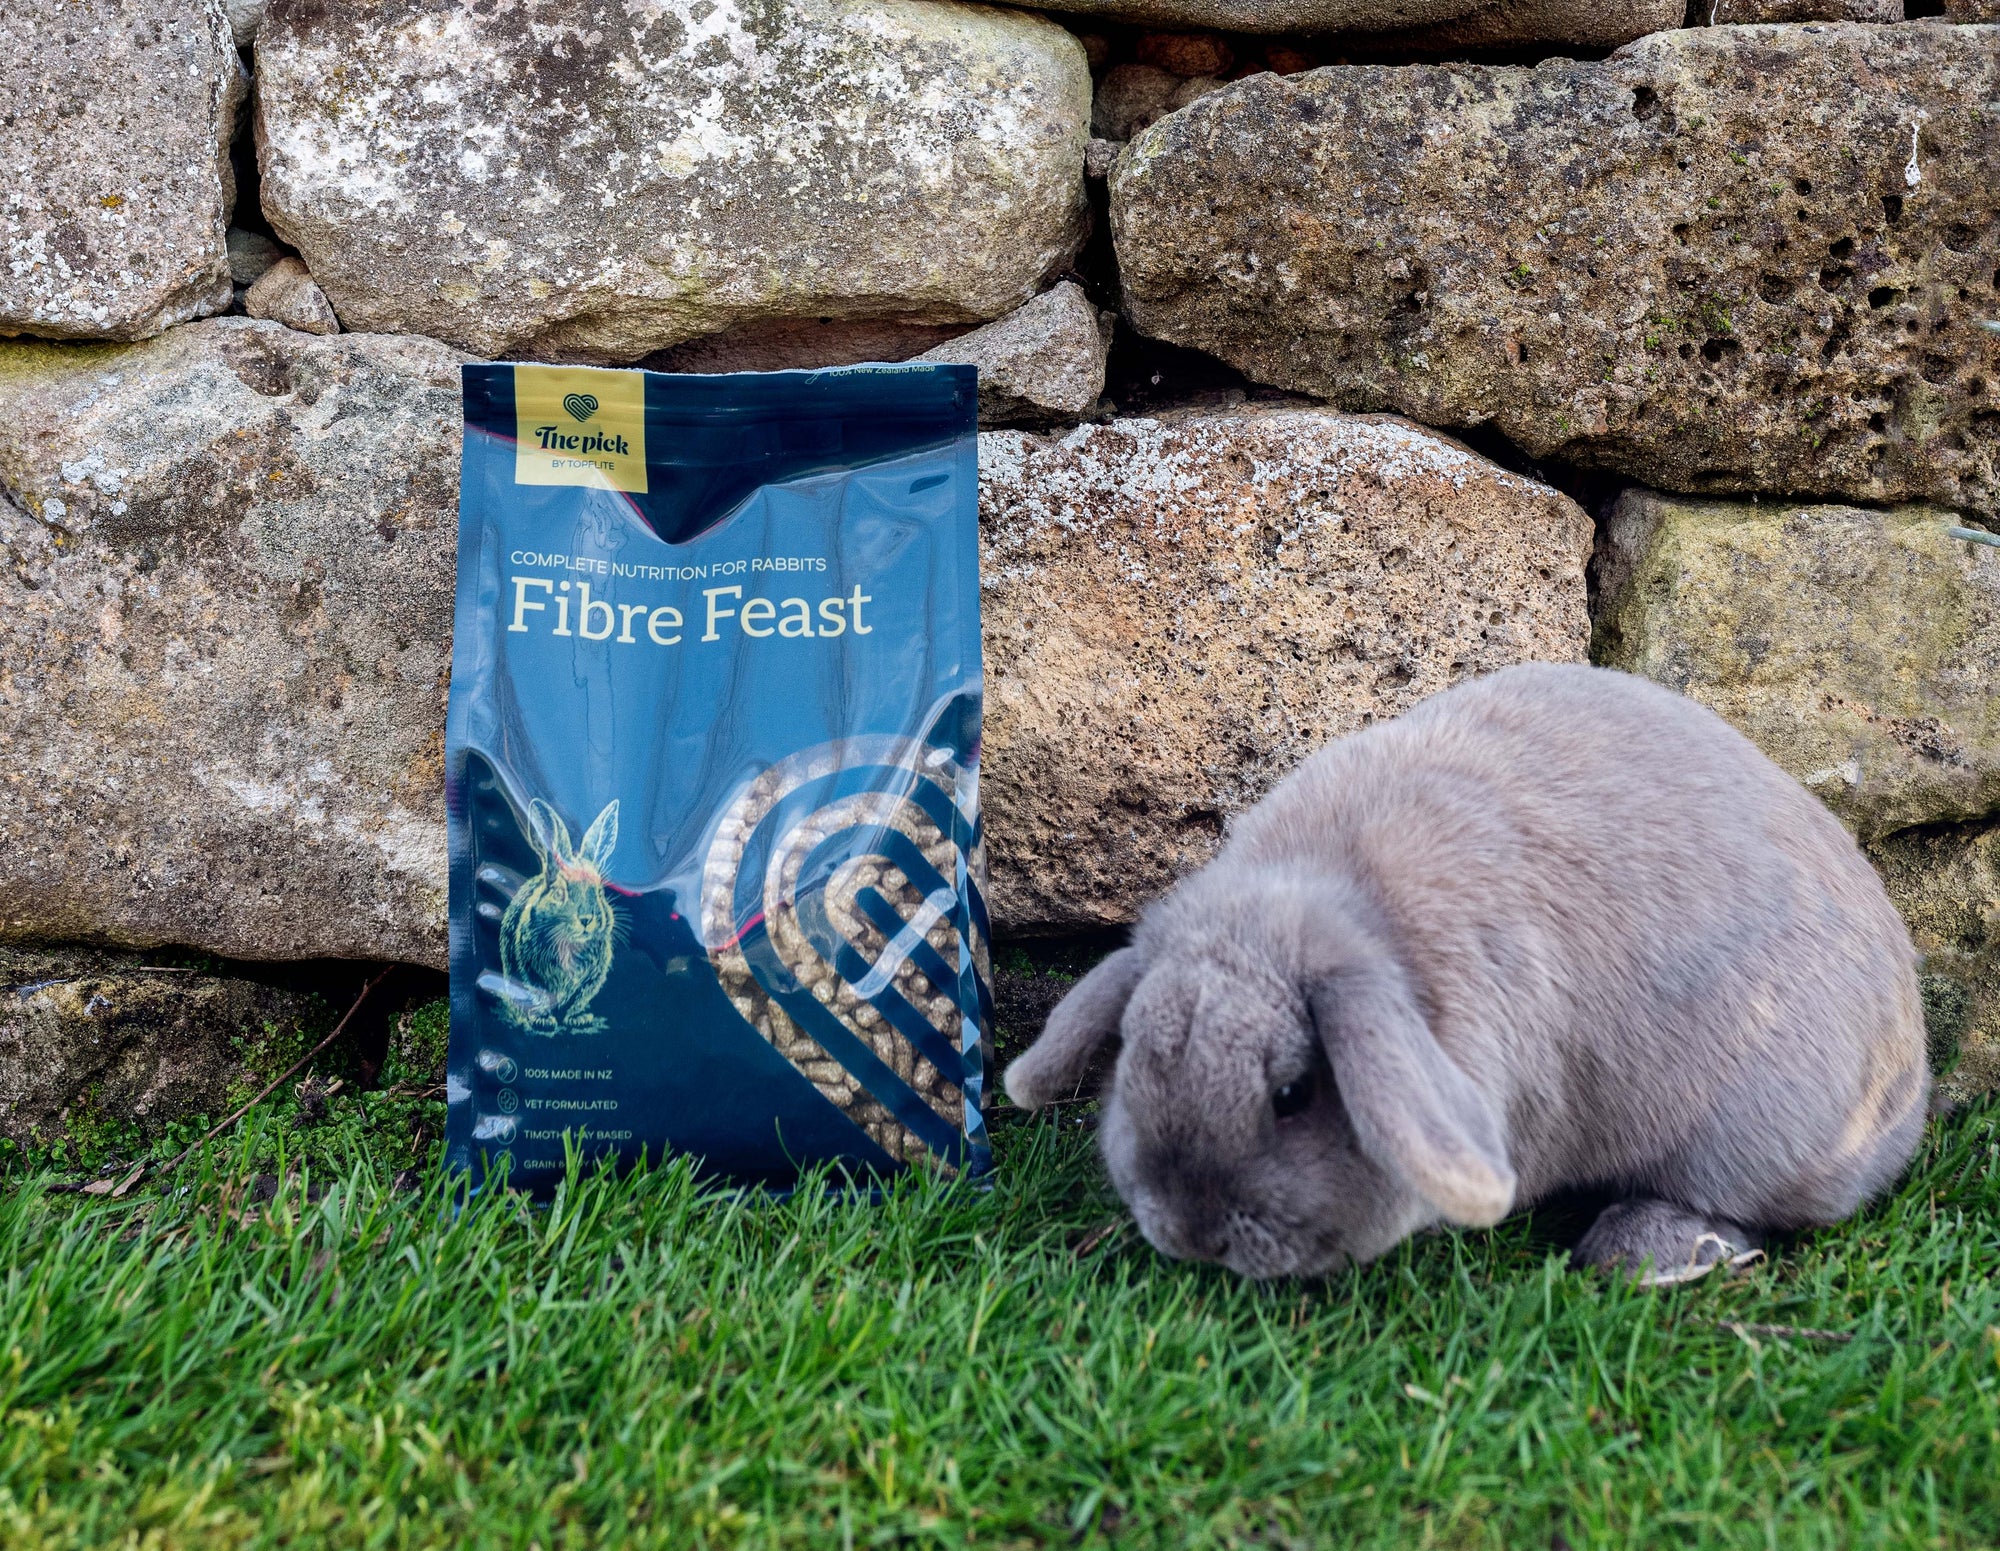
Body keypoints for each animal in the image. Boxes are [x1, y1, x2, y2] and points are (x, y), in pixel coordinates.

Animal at [499, 798, 621, 1037]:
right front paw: (543, 1021)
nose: (586, 919)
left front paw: (578, 1019)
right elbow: (540, 997)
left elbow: (578, 1001)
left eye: (599, 892)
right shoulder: (530, 973)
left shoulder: (591, 980)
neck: (570, 944)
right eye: (558, 893)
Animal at [1005, 664, 1929, 1284]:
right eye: (1133, 1058)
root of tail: (1911, 1083)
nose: (1188, 1231)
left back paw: (1645, 1253)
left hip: (1748, 1134)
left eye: (1292, 1094)